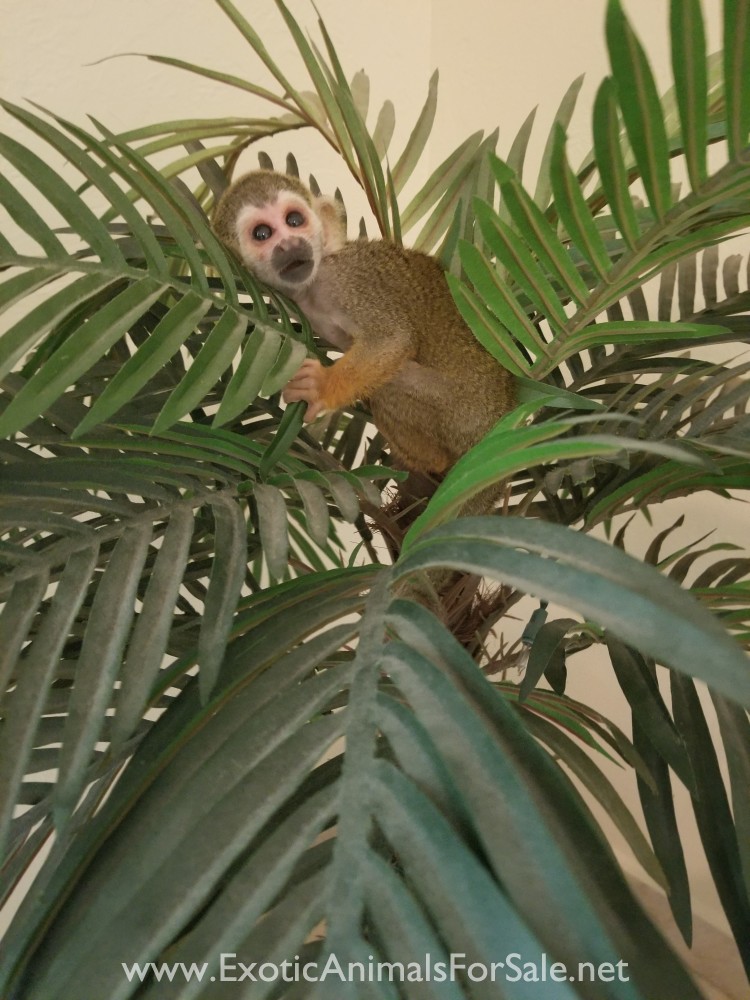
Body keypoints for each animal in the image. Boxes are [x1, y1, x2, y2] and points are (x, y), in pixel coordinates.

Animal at [212, 169, 515, 490]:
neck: (313, 286)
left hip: (464, 411)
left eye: (294, 220)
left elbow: (392, 340)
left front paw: (321, 386)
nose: (289, 244)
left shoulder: (348, 282)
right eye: (262, 234)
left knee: (391, 383)